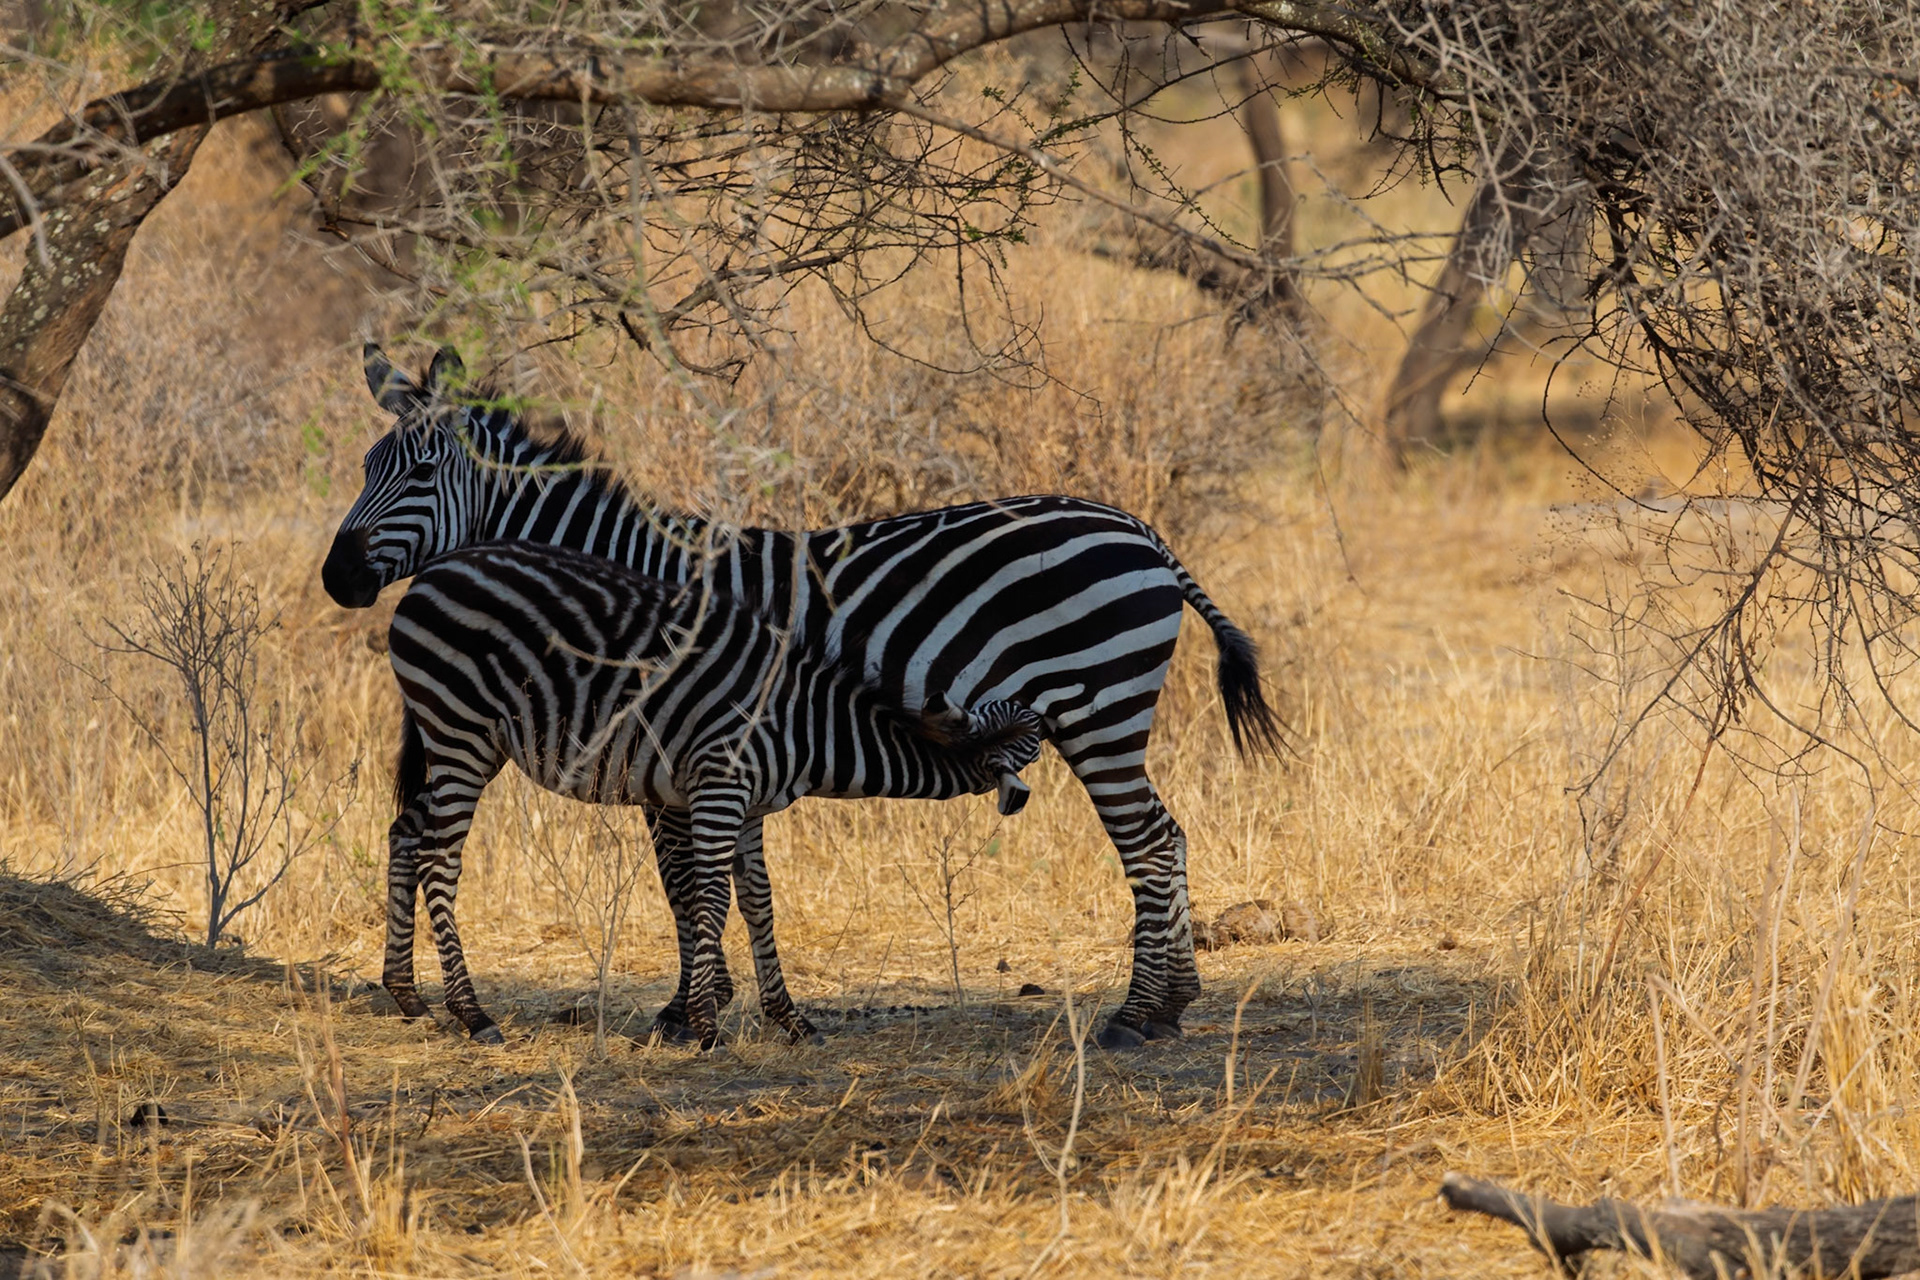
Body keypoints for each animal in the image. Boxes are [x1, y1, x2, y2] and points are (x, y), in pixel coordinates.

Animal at [387, 539, 1046, 1047]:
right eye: (1031, 743)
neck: (808, 722)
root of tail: (437, 568)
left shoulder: (751, 805)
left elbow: (757, 899)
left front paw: (789, 1019)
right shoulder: (719, 785)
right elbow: (710, 897)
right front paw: (704, 1024)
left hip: (465, 743)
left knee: (405, 835)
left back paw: (407, 995)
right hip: (460, 731)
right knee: (440, 860)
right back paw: (472, 1014)